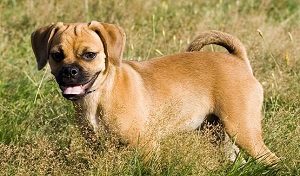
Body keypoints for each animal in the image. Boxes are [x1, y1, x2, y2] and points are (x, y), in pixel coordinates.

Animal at [30, 21, 278, 165]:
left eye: (89, 55)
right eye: (56, 55)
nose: (69, 72)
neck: (99, 96)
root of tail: (238, 60)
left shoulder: (146, 146)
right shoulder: (99, 148)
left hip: (244, 131)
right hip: (219, 134)